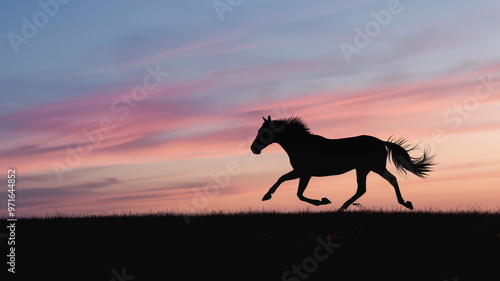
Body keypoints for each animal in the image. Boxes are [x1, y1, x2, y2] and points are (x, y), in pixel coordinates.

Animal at [250, 115, 434, 210]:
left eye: (264, 133)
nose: (253, 149)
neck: (301, 144)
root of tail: (381, 141)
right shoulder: (303, 173)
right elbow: (285, 182)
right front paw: (267, 196)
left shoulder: (304, 172)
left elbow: (297, 192)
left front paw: (322, 201)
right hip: (368, 168)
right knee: (375, 185)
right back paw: (406, 203)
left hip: (370, 167)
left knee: (374, 185)